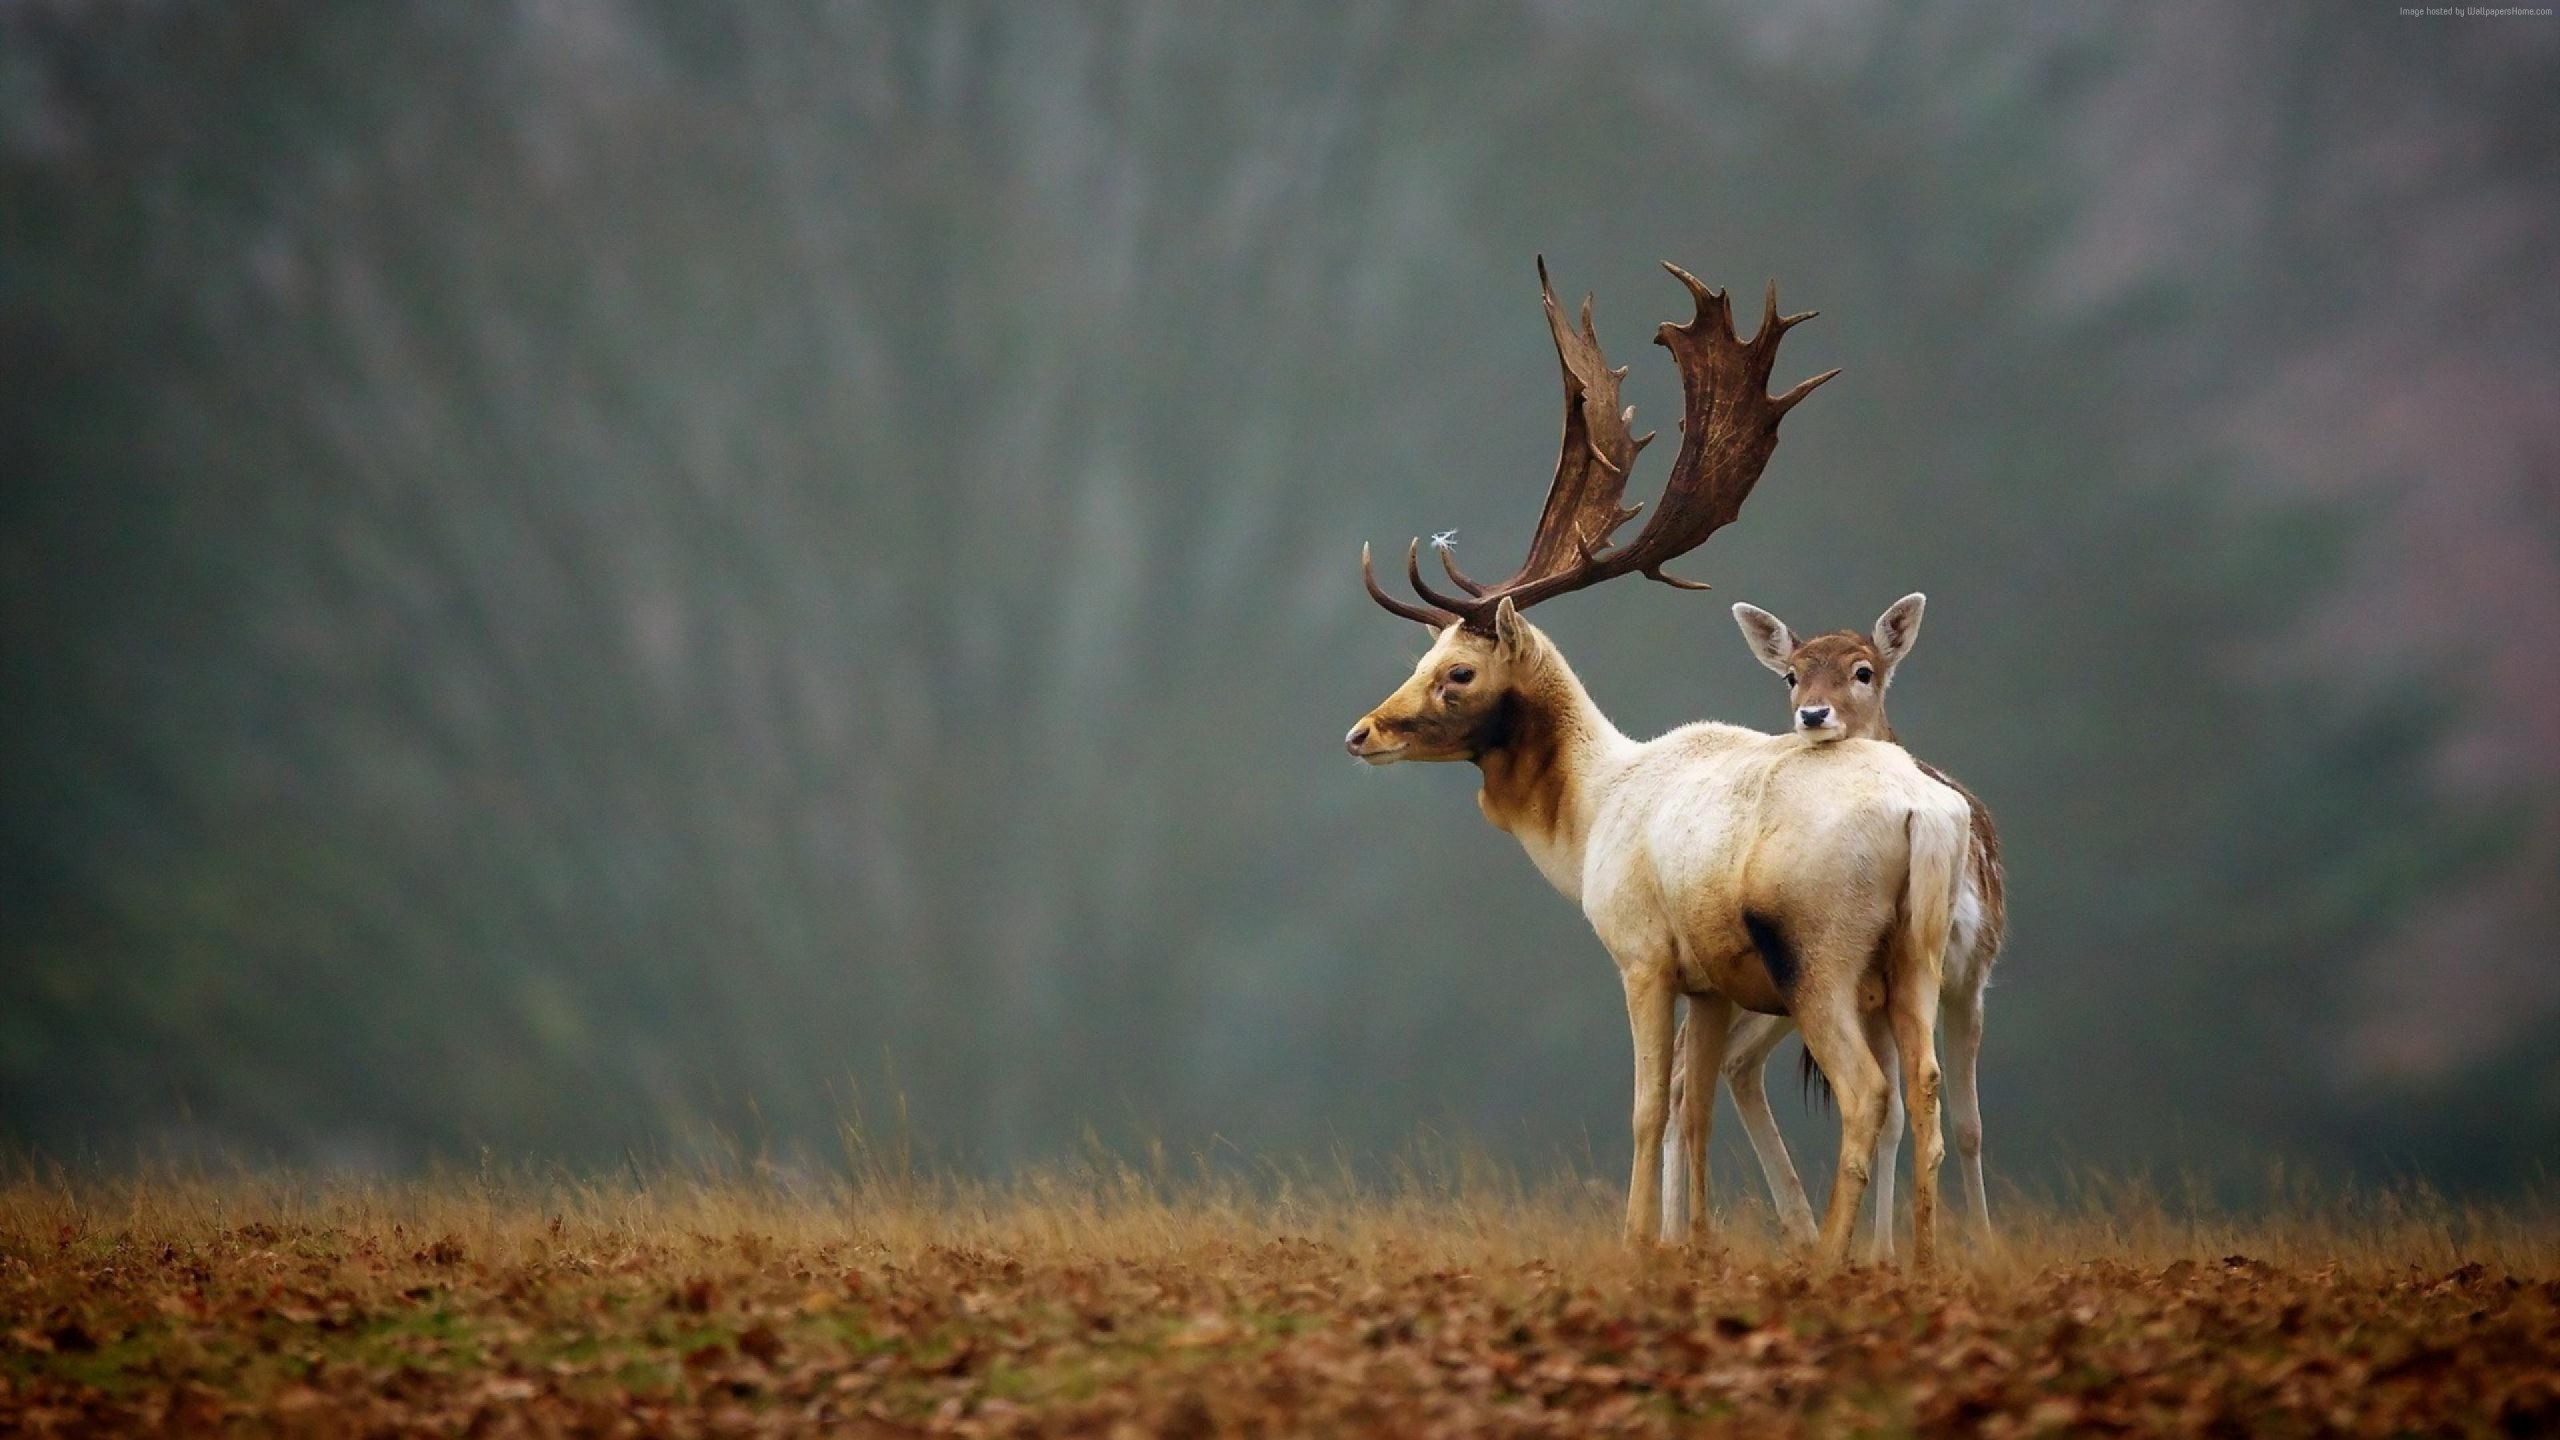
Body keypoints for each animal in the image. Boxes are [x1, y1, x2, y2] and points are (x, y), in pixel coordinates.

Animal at [1343, 259, 1973, 1270]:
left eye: (1458, 671)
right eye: (1422, 655)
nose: (1362, 732)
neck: (1591, 815)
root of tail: (1926, 815)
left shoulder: (1641, 952)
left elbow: (1646, 1107)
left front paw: (1639, 1241)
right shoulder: (1710, 978)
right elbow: (1694, 1110)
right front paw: (1696, 1243)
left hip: (1822, 953)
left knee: (1868, 1092)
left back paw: (1830, 1259)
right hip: (1917, 953)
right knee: (1927, 1088)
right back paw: (1915, 1261)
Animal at [1659, 595, 2009, 1259]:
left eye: (1863, 670)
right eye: (1791, 675)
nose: (1813, 714)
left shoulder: (1972, 973)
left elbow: (1969, 1123)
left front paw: (1976, 1244)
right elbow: (1901, 1115)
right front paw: (1883, 1252)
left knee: (1723, 1066)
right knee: (1693, 1070)